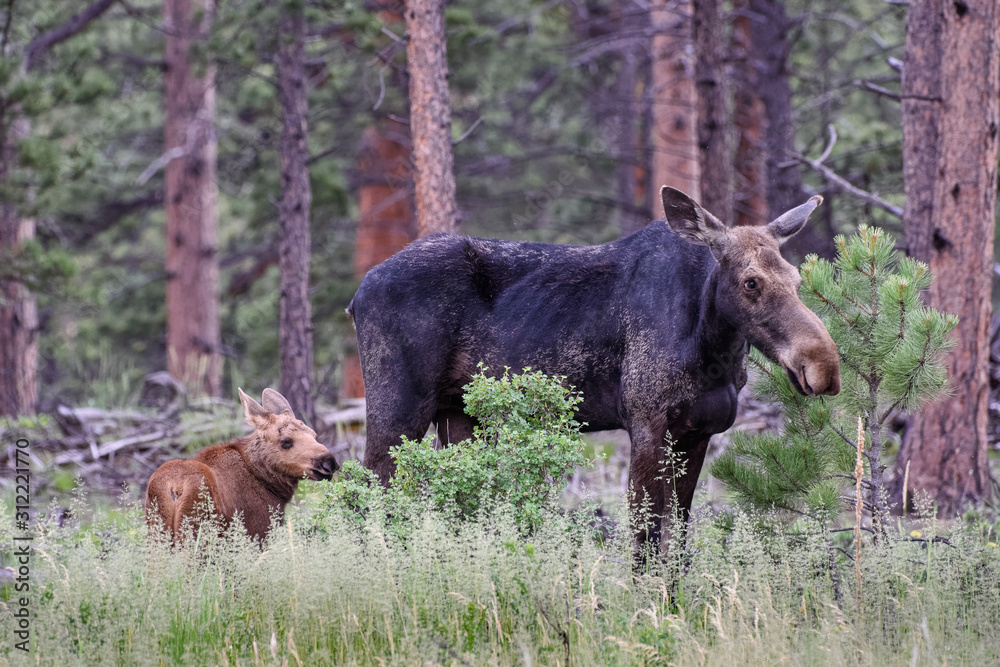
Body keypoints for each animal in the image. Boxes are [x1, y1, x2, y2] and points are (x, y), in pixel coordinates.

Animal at [145, 388, 338, 542]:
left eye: (314, 434)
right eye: (285, 442)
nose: (330, 463)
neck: (270, 487)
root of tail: (175, 487)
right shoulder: (258, 532)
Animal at [348, 187, 840, 554]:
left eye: (797, 279)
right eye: (751, 282)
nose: (823, 367)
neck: (712, 349)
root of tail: (356, 296)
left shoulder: (698, 433)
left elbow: (678, 543)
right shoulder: (646, 423)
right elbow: (645, 540)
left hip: (460, 417)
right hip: (398, 410)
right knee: (367, 502)